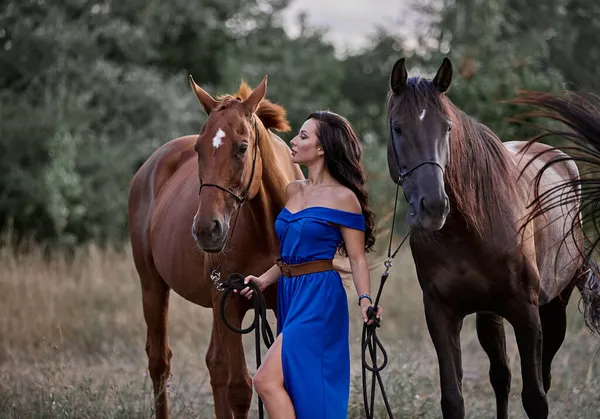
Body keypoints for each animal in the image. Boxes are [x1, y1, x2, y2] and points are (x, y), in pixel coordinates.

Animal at [128, 76, 302, 419]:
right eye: (199, 149)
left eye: (242, 147)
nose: (206, 230)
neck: (268, 229)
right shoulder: (230, 301)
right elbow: (240, 389)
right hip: (153, 286)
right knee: (160, 362)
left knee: (214, 365)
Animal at [384, 59, 600, 419]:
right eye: (398, 128)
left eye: (447, 128)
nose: (434, 207)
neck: (466, 230)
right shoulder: (441, 314)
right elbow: (453, 399)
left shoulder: (526, 313)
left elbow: (535, 399)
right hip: (490, 314)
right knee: (501, 376)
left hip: (556, 305)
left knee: (542, 375)